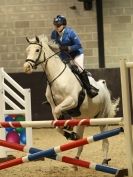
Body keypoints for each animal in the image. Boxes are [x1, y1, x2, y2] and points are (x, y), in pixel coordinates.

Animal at [23, 35, 119, 165]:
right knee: (81, 141)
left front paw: (67, 126)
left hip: (101, 119)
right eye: (27, 50)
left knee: (105, 141)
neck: (56, 77)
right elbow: (57, 122)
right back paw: (76, 161)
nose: (26, 67)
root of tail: (102, 86)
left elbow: (59, 112)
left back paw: (104, 161)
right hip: (82, 119)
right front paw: (69, 132)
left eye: (37, 50)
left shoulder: (72, 101)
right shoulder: (53, 105)